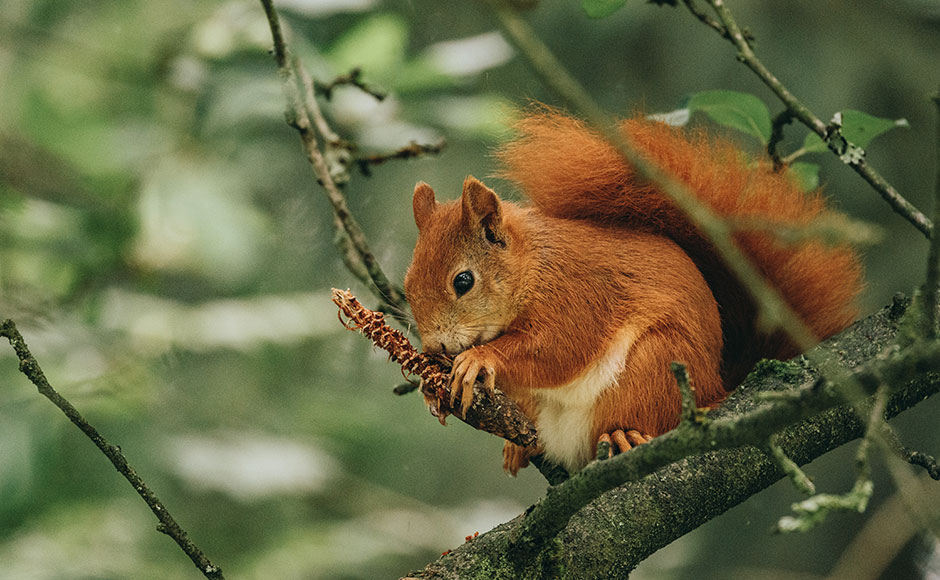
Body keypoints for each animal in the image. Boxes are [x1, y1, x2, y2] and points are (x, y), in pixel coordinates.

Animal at [400, 109, 864, 476]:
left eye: (463, 281)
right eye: (406, 284)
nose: (434, 346)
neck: (532, 268)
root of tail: (717, 385)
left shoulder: (578, 295)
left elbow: (558, 349)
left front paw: (479, 358)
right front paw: (431, 387)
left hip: (656, 366)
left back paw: (625, 434)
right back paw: (519, 446)